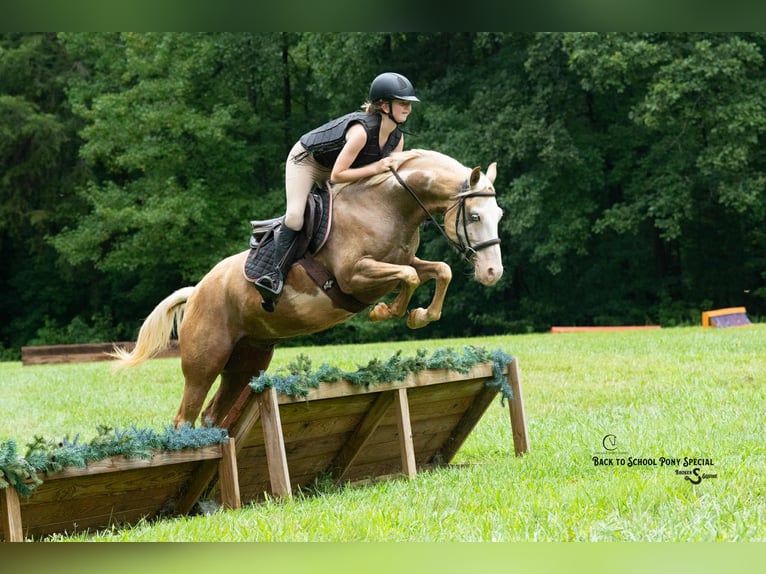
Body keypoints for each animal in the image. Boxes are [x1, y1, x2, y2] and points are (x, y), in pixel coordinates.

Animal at [112, 149, 504, 428]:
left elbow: (439, 270)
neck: (389, 206)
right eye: (474, 216)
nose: (492, 273)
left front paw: (420, 316)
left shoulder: (403, 260)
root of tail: (196, 292)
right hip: (205, 360)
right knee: (184, 417)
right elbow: (408, 276)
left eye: (498, 215)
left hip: (247, 362)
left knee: (212, 414)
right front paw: (387, 311)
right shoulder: (355, 276)